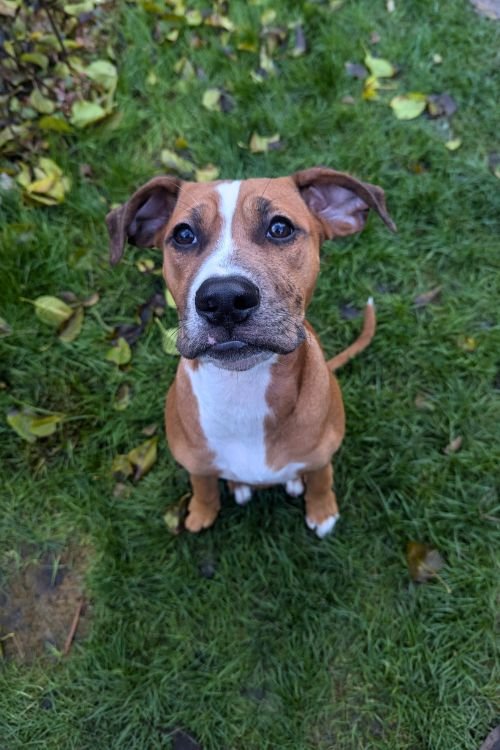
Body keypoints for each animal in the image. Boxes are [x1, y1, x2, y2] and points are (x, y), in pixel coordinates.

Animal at [106, 167, 394, 536]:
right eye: (183, 235)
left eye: (280, 228)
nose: (224, 299)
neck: (243, 388)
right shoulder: (195, 462)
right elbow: (203, 484)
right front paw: (201, 512)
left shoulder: (321, 455)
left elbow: (320, 478)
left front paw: (322, 511)